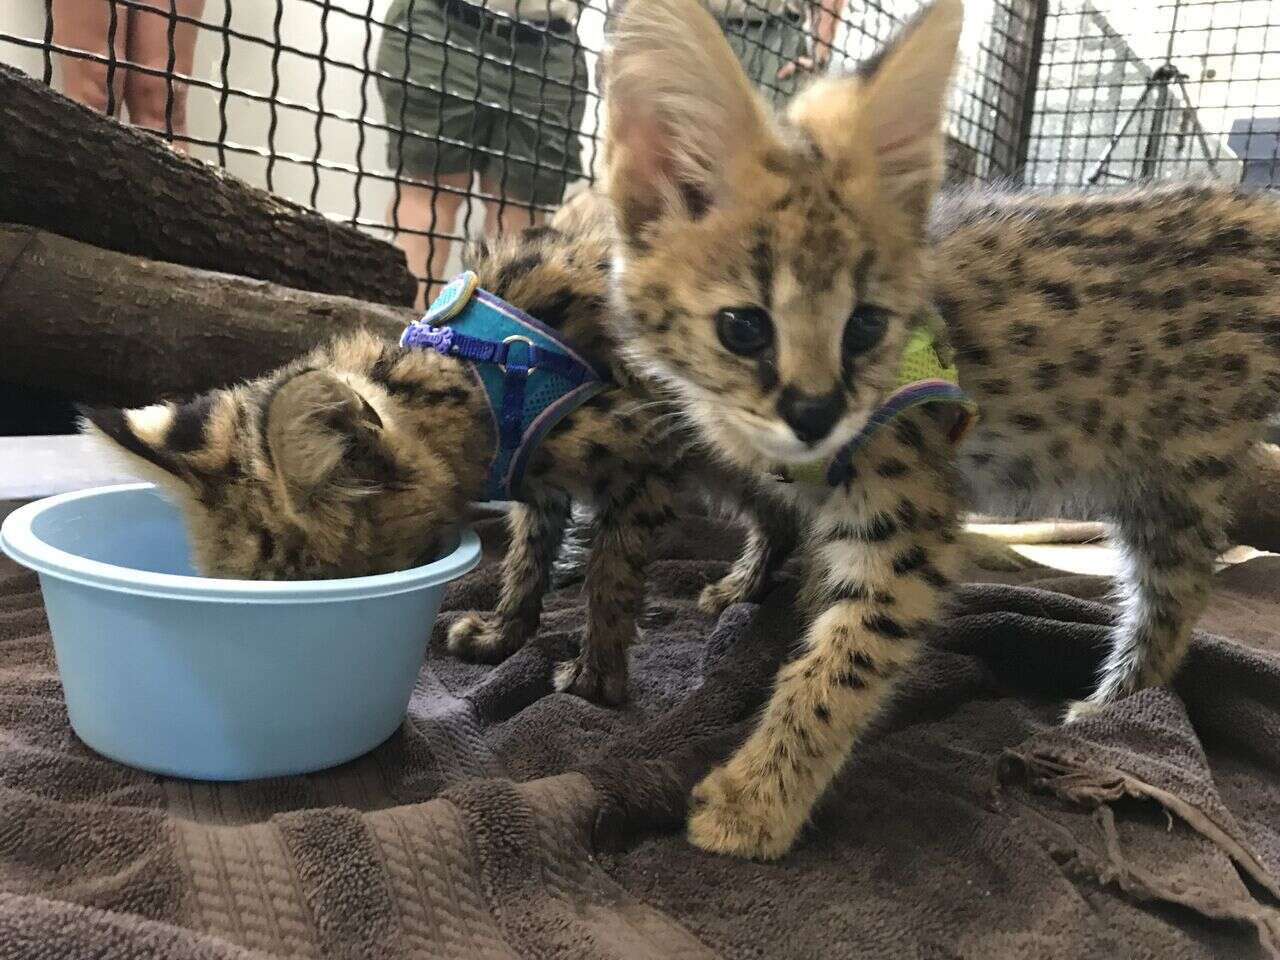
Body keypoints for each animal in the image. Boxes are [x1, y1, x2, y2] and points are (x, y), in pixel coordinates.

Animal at [80, 195, 788, 706]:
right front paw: (504, 635)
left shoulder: (644, 457)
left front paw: (596, 680)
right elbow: (527, 558)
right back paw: (745, 588)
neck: (471, 378)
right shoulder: (539, 479)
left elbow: (611, 574)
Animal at [599, 0, 1280, 860]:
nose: (816, 415)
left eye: (864, 327)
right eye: (742, 328)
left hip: (1173, 472)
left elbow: (844, 659)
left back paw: (1114, 707)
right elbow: (816, 592)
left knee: (1176, 593)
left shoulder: (908, 527)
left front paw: (758, 798)